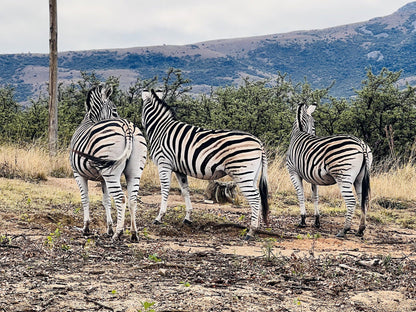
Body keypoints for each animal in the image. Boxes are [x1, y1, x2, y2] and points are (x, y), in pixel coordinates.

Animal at [68, 83, 146, 241]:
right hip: (134, 170)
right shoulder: (102, 178)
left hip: (111, 172)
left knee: (121, 198)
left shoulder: (77, 173)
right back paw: (133, 233)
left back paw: (118, 233)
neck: (90, 119)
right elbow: (106, 201)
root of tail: (127, 126)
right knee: (132, 199)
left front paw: (86, 228)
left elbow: (85, 198)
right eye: (115, 110)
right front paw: (109, 228)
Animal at [141, 89, 270, 240]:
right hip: (251, 174)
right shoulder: (179, 169)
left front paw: (159, 217)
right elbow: (185, 191)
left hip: (242, 173)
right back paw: (255, 228)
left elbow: (165, 190)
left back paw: (251, 231)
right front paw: (187, 218)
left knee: (255, 198)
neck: (161, 129)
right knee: (258, 197)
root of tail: (258, 142)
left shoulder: (164, 163)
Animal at [286, 102, 374, 236]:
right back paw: (360, 229)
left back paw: (344, 230)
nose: (314, 134)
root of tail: (361, 144)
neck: (299, 132)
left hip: (343, 176)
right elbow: (315, 196)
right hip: (360, 178)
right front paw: (317, 221)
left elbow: (300, 195)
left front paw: (302, 220)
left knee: (351, 201)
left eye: (315, 123)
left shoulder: (293, 172)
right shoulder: (312, 176)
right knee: (363, 200)